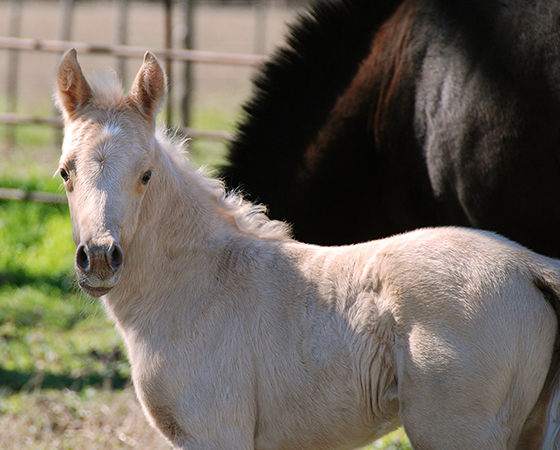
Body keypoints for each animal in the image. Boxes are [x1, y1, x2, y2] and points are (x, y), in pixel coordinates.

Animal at [54, 50, 560, 450]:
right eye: (65, 172)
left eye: (146, 174)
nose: (99, 259)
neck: (198, 285)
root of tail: (528, 266)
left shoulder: (215, 432)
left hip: (457, 432)